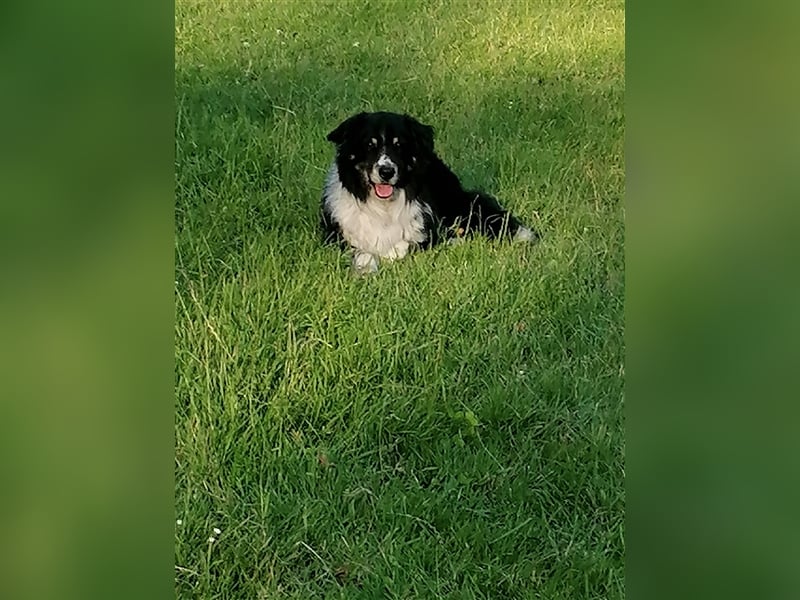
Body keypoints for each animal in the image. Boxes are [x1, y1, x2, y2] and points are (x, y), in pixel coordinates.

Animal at [320, 110, 536, 274]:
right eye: (369, 145)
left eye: (399, 145)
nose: (386, 172)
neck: (382, 208)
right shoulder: (337, 238)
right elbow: (363, 252)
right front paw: (366, 268)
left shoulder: (423, 234)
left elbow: (403, 247)